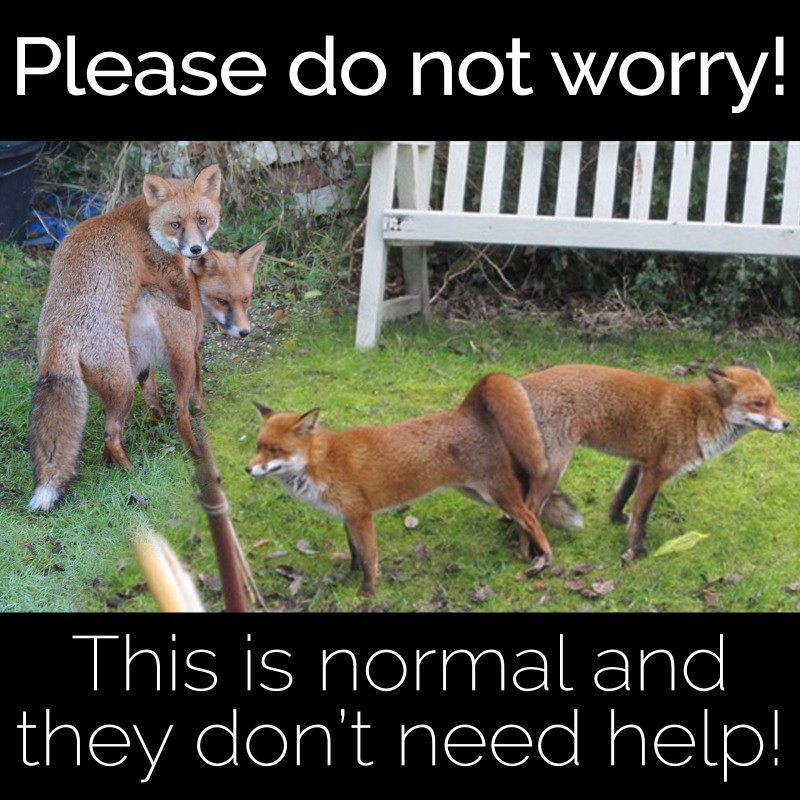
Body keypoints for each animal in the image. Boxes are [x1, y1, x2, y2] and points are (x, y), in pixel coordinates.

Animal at [28, 165, 222, 512]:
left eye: (202, 220)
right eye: (176, 224)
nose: (196, 250)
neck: (142, 222)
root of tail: (58, 331)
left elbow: (153, 385)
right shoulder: (170, 277)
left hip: (117, 379)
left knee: (111, 432)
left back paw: (113, 466)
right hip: (122, 386)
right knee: (113, 433)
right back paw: (132, 474)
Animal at [132, 241, 267, 425]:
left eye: (246, 300)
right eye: (222, 301)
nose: (244, 332)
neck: (193, 285)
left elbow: (150, 388)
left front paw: (158, 414)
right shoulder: (194, 345)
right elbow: (197, 389)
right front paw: (203, 412)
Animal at [245, 373, 579, 596]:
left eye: (275, 450)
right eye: (258, 446)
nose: (247, 469)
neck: (322, 462)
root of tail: (466, 408)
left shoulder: (361, 515)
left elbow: (370, 558)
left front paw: (367, 593)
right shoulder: (347, 517)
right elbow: (355, 555)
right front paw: (349, 579)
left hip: (498, 494)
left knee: (532, 517)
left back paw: (543, 556)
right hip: (482, 495)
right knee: (528, 514)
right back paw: (524, 552)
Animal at [517, 363, 789, 565]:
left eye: (774, 400)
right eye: (759, 403)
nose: (787, 423)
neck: (696, 416)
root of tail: (517, 383)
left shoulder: (639, 462)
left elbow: (622, 494)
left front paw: (615, 519)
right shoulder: (657, 471)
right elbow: (641, 514)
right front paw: (635, 551)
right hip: (552, 468)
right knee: (527, 509)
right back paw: (530, 554)